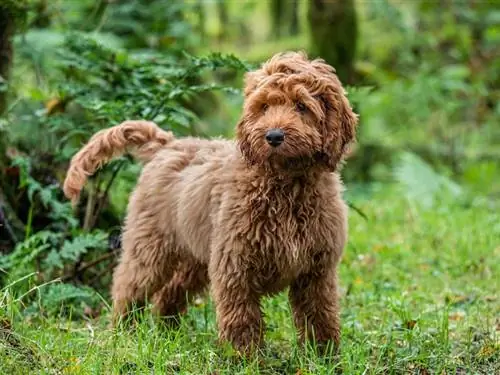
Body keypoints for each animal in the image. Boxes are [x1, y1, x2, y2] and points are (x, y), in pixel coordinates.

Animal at [63, 52, 360, 356]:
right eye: (264, 107)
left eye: (302, 106)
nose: (274, 136)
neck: (285, 185)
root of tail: (168, 144)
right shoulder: (235, 264)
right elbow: (242, 317)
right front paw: (244, 358)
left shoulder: (317, 271)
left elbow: (320, 314)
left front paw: (323, 354)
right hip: (150, 246)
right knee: (128, 286)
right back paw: (124, 333)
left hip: (195, 255)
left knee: (169, 293)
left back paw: (169, 333)